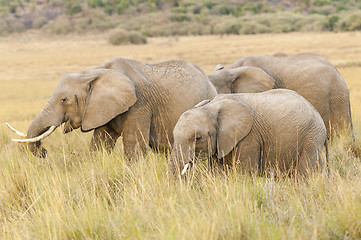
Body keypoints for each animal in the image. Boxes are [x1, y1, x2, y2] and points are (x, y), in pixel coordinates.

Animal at [6, 57, 217, 158]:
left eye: (64, 100)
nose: (43, 152)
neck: (94, 72)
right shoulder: (100, 107)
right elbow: (100, 144)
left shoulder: (139, 104)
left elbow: (134, 147)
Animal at [170, 89, 328, 177]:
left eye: (198, 138)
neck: (211, 106)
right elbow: (218, 171)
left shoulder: (249, 137)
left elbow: (245, 172)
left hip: (311, 137)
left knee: (303, 173)